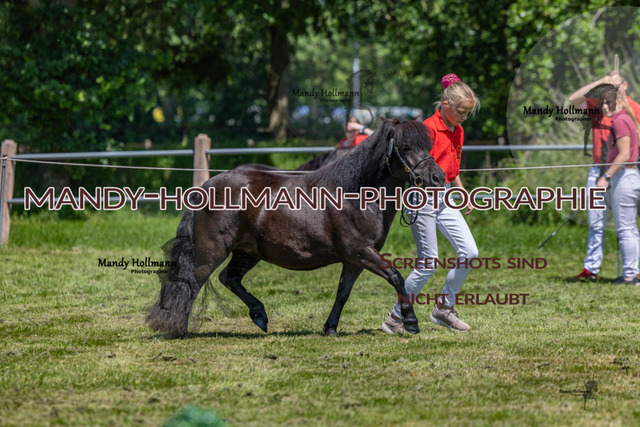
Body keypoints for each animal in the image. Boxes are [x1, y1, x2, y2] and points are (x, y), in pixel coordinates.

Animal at [146, 118, 445, 338]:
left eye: (427, 145)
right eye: (405, 147)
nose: (438, 177)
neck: (356, 194)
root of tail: (206, 186)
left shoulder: (354, 260)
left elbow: (343, 292)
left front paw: (330, 328)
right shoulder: (361, 252)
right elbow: (396, 276)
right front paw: (411, 322)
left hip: (248, 252)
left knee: (229, 278)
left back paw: (260, 316)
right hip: (211, 251)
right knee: (190, 281)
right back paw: (177, 329)